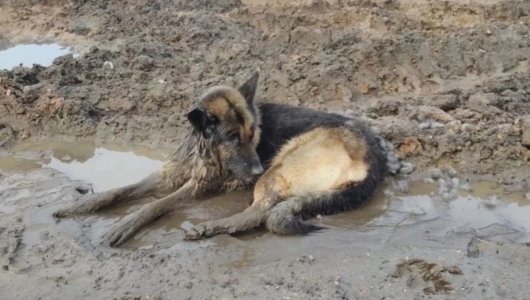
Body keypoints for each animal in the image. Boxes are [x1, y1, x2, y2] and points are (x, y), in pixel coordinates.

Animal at [52, 72, 384, 246]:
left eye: (253, 134)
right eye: (234, 138)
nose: (255, 170)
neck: (205, 150)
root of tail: (375, 159)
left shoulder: (199, 187)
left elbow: (154, 204)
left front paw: (126, 223)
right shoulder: (170, 174)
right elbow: (120, 191)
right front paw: (82, 205)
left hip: (279, 167)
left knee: (260, 213)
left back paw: (211, 227)